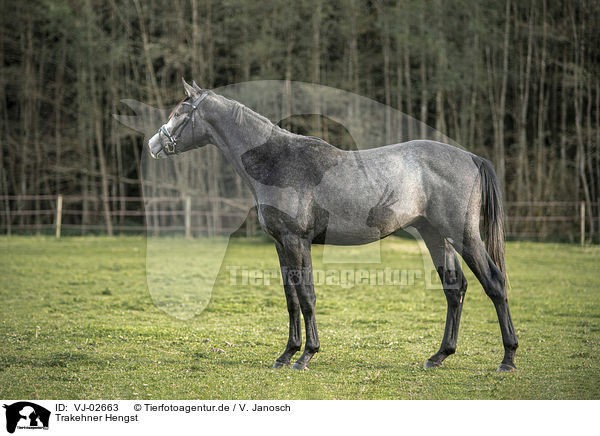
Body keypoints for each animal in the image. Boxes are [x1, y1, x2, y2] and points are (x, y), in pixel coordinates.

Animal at [148, 78, 516, 372]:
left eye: (180, 111)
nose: (153, 144)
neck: (278, 161)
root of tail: (472, 158)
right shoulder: (281, 244)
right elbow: (291, 298)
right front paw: (286, 354)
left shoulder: (297, 241)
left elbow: (307, 296)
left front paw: (306, 355)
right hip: (435, 235)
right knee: (456, 289)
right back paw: (439, 356)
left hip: (464, 235)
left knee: (494, 283)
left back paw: (508, 358)